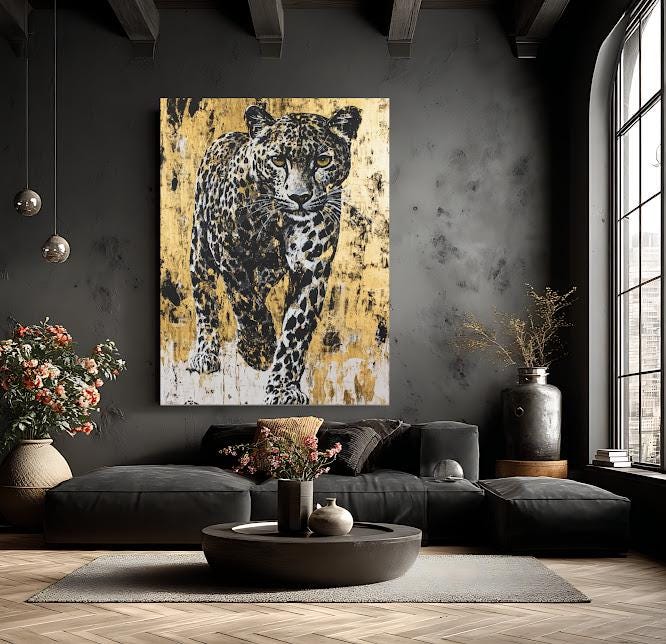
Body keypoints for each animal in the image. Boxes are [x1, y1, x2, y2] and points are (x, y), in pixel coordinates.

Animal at [188, 103, 362, 405]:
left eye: (323, 161)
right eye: (279, 160)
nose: (300, 197)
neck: (278, 221)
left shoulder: (312, 270)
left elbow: (296, 331)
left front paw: (282, 387)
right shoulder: (228, 253)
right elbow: (246, 302)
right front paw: (259, 350)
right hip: (200, 251)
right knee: (206, 301)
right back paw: (206, 353)